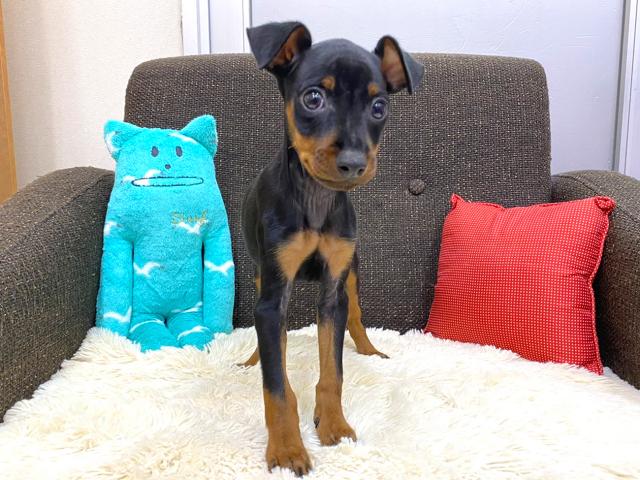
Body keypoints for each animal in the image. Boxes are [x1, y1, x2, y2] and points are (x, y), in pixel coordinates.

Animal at [241, 21, 424, 476]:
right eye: (313, 98)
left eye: (379, 107)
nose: (355, 163)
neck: (317, 200)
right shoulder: (272, 296)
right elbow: (277, 385)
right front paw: (287, 448)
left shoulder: (332, 295)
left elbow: (333, 373)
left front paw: (334, 425)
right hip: (260, 275)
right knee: (271, 340)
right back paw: (253, 358)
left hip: (352, 272)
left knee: (356, 316)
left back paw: (370, 350)